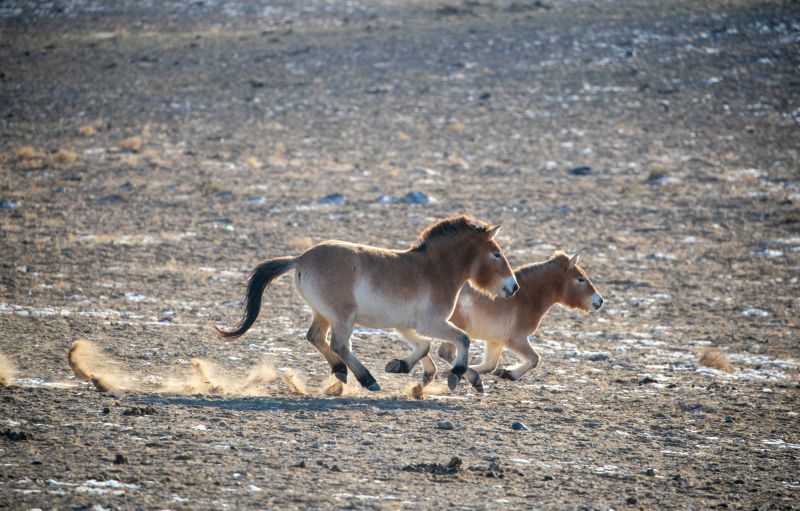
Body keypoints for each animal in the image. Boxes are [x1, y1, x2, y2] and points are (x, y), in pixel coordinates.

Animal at [214, 215, 519, 392]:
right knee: (339, 344)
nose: (513, 287)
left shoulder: (406, 325)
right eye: (496, 254)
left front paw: (404, 366)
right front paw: (455, 376)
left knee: (316, 337)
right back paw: (367, 380)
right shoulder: (431, 323)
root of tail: (300, 259)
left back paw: (341, 371)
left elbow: (424, 347)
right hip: (342, 317)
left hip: (322, 313)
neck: (434, 269)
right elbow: (462, 339)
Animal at [436, 251, 603, 381]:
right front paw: (509, 374)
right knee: (446, 353)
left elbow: (490, 366)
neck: (525, 297)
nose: (600, 301)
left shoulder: (496, 341)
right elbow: (535, 359)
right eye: (581, 279)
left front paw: (503, 372)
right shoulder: (516, 339)